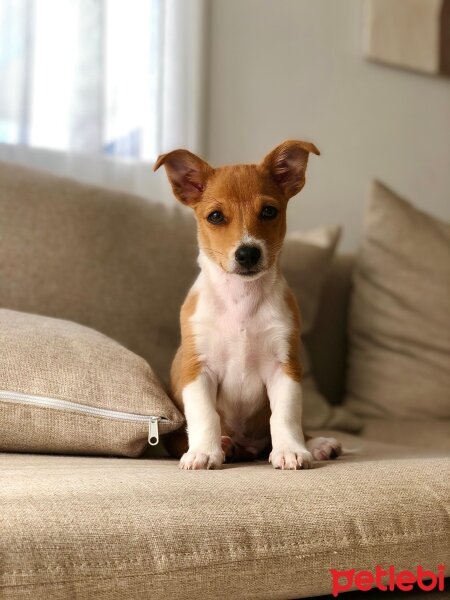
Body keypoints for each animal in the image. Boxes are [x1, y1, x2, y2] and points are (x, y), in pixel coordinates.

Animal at [155, 139, 342, 468]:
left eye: (269, 211)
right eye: (215, 216)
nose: (247, 253)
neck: (242, 301)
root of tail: (247, 448)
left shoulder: (284, 368)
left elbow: (285, 416)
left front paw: (290, 450)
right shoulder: (197, 370)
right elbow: (205, 416)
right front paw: (204, 451)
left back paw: (318, 444)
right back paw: (225, 444)